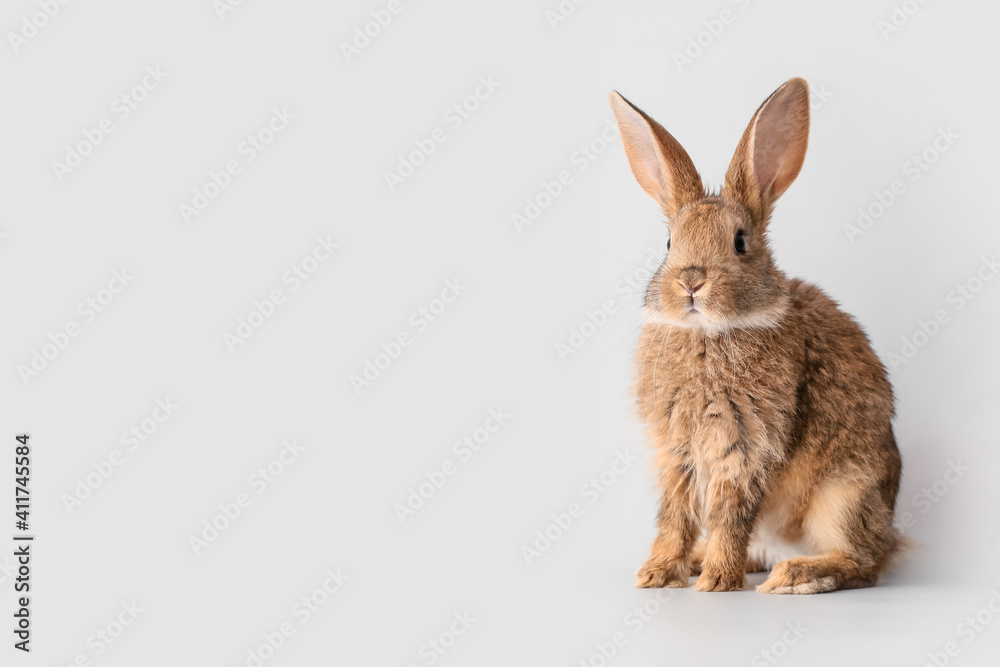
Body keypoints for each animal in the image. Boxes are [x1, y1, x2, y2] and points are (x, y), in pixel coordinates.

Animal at [608, 78, 902, 594]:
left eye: (740, 242)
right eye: (670, 242)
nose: (691, 281)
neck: (708, 332)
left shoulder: (745, 444)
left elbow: (729, 514)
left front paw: (716, 582)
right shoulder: (677, 452)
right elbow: (675, 516)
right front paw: (658, 573)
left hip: (844, 495)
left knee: (865, 560)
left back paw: (796, 575)